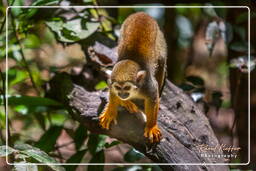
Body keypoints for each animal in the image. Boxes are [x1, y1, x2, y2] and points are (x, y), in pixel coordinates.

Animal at [99, 12, 167, 143]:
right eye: (118, 88)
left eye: (126, 88)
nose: (122, 94)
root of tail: (142, 13)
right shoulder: (112, 82)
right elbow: (112, 91)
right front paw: (111, 111)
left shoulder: (148, 85)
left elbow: (153, 98)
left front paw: (151, 126)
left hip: (160, 38)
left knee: (161, 61)